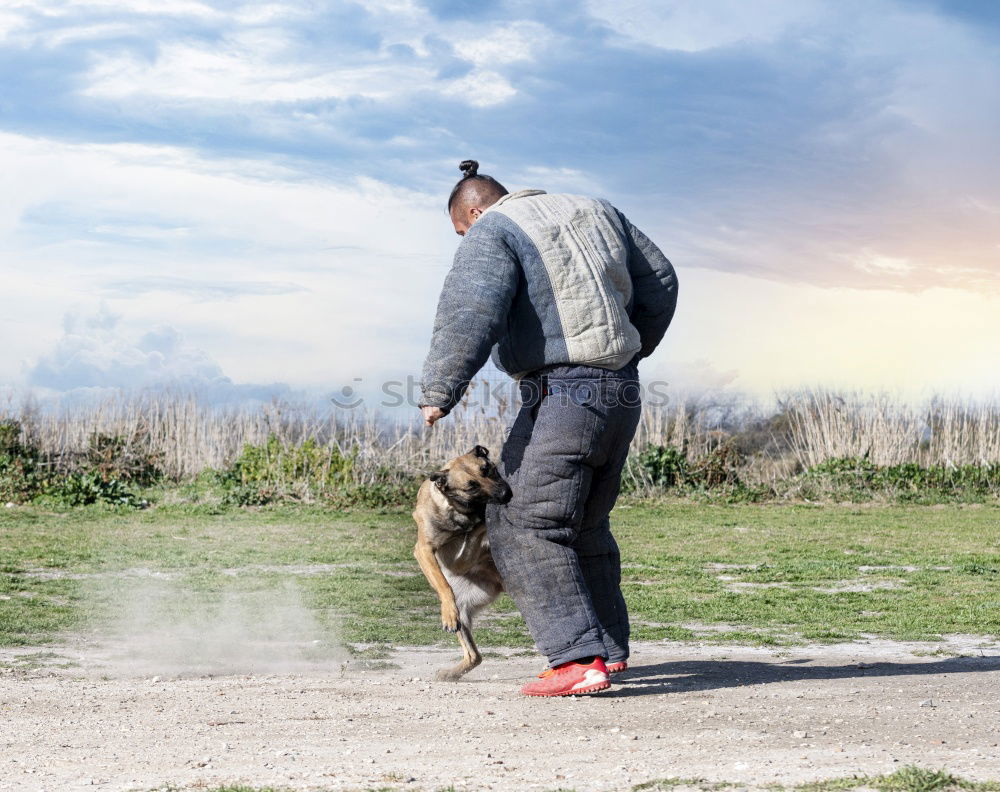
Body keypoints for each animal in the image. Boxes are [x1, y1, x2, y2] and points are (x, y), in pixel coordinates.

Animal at [410, 446, 512, 680]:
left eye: (489, 469)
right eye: (471, 487)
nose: (506, 494)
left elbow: (476, 531)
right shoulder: (425, 550)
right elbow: (443, 584)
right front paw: (448, 613)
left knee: (476, 656)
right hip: (464, 614)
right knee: (475, 656)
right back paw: (450, 673)